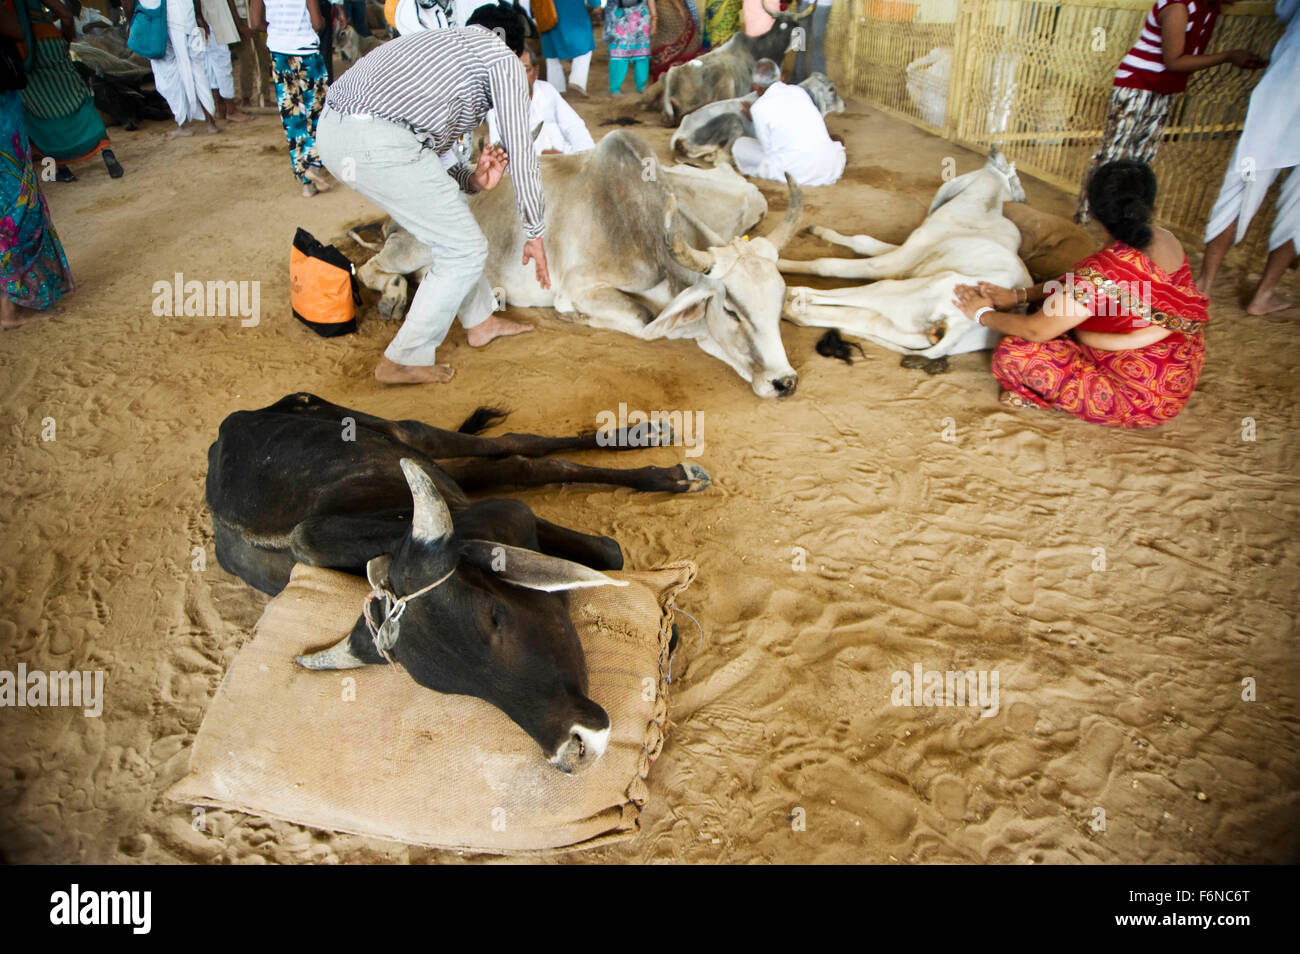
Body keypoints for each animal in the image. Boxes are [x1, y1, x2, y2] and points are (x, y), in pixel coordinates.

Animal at [208, 392, 712, 774]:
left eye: (495, 617)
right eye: (453, 686)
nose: (573, 750)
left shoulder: (507, 517)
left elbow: (610, 551)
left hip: (400, 433)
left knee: (512, 447)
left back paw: (655, 450)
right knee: (515, 463)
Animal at [774, 149, 1029, 361]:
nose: (994, 150)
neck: (981, 206)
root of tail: (961, 330)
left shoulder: (896, 262)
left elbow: (827, 264)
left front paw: (781, 261)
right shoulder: (904, 253)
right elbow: (863, 241)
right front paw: (819, 230)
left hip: (906, 291)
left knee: (843, 296)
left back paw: (792, 293)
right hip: (904, 328)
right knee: (829, 316)